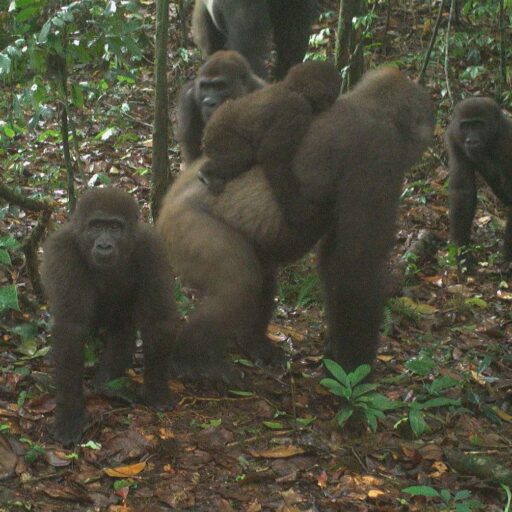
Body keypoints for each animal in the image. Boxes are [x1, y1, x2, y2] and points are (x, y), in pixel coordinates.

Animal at [40, 188, 176, 444]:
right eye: (96, 226)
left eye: (114, 227)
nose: (104, 245)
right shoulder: (62, 250)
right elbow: (71, 329)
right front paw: (70, 413)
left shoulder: (151, 248)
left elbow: (157, 318)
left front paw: (156, 389)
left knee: (123, 326)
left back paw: (107, 385)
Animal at [198, 60, 342, 195]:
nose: (329, 103)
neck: (291, 88)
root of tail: (206, 130)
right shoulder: (295, 109)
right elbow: (272, 157)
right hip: (218, 134)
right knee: (241, 155)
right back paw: (206, 173)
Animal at [444, 98, 512, 262]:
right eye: (466, 126)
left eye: (478, 125)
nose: (471, 141)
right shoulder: (454, 136)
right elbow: (462, 191)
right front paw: (461, 251)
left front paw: (507, 256)